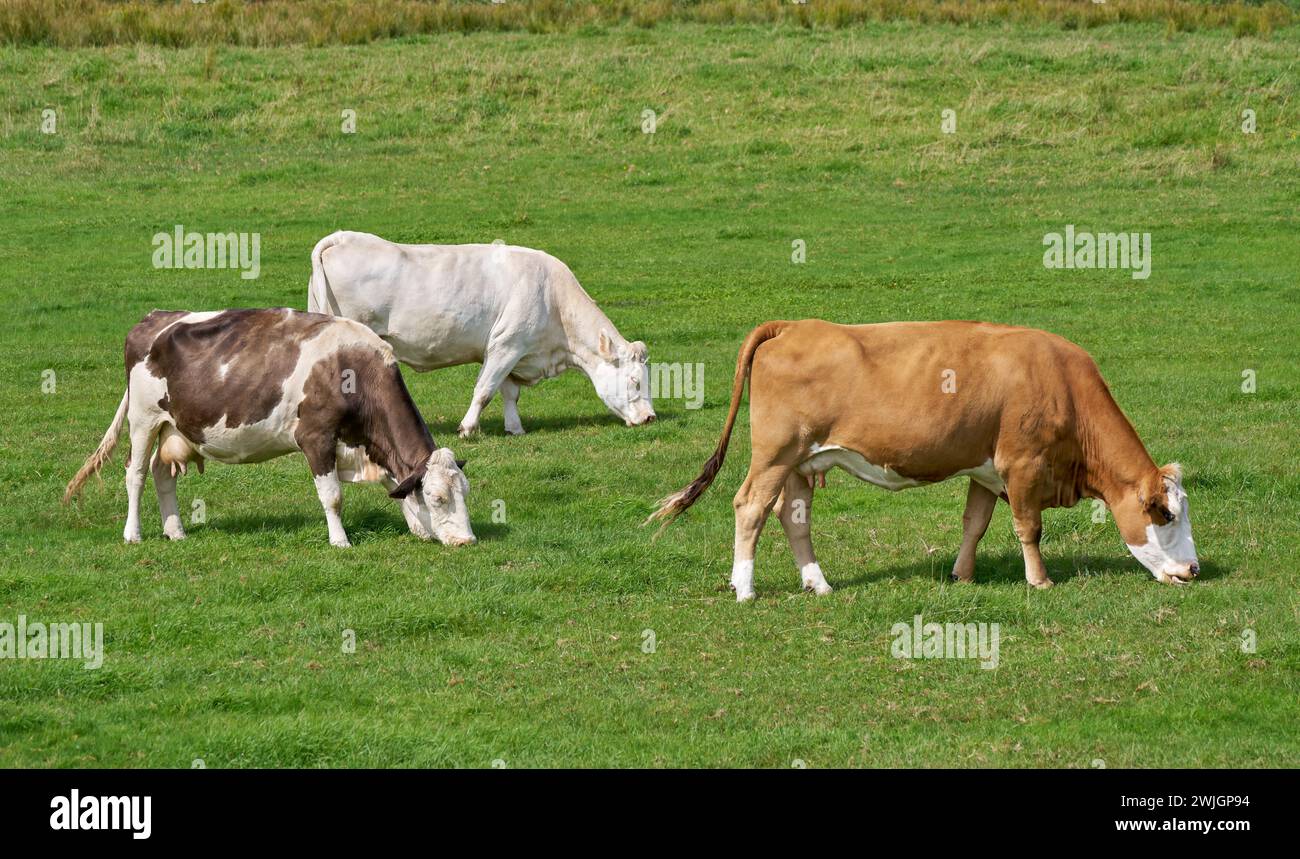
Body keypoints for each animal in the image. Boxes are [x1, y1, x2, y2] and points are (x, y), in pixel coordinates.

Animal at [63, 308, 476, 548]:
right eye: (438, 497)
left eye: (465, 493)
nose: (467, 541)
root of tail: (154, 318)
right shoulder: (316, 438)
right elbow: (333, 496)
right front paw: (340, 541)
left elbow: (396, 487)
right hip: (144, 419)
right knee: (134, 474)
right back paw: (132, 534)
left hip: (175, 426)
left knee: (162, 474)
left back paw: (175, 530)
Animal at [306, 231, 656, 437]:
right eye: (634, 381)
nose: (650, 417)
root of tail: (344, 238)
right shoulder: (505, 346)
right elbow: (485, 390)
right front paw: (467, 428)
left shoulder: (517, 352)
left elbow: (509, 393)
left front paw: (515, 429)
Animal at [648, 320, 1199, 601]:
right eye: (1165, 514)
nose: (1193, 570)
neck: (1061, 384)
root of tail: (792, 326)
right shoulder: (1022, 465)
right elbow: (1029, 527)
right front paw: (1039, 580)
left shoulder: (986, 469)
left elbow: (975, 523)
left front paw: (962, 574)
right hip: (774, 454)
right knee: (751, 508)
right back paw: (744, 587)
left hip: (802, 463)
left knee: (792, 516)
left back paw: (818, 583)